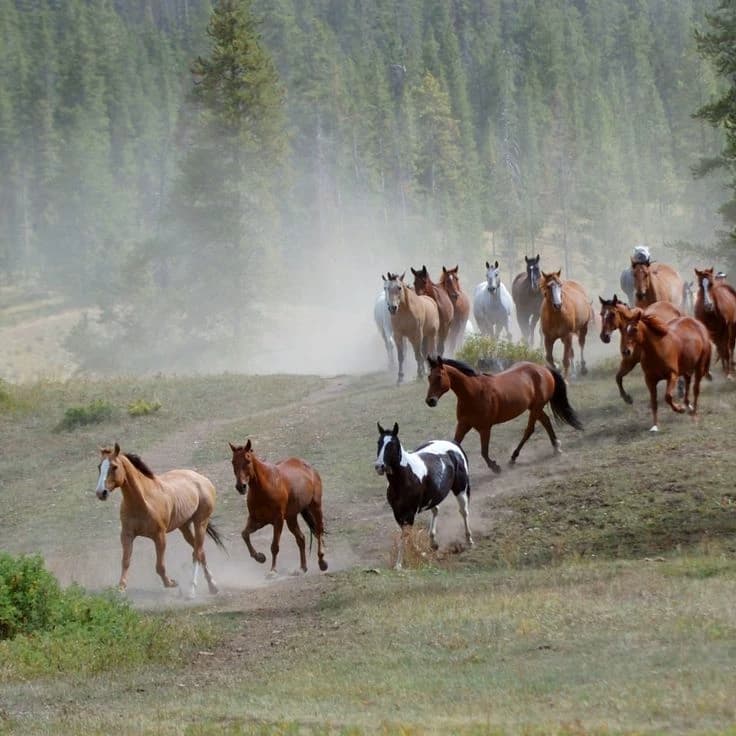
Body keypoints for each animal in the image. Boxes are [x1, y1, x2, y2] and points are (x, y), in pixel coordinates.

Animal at [95, 443, 225, 597]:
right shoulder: (127, 535)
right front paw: (120, 588)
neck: (144, 501)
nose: (101, 492)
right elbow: (125, 561)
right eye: (99, 466)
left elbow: (160, 566)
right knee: (201, 553)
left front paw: (171, 583)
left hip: (200, 523)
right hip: (184, 527)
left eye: (114, 467)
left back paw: (191, 590)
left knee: (197, 553)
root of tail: (203, 479)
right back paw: (213, 586)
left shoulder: (159, 536)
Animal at [229, 440, 327, 576]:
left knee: (319, 530)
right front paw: (260, 557)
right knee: (301, 539)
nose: (241, 487)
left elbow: (274, 546)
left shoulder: (278, 520)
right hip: (291, 518)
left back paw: (322, 562)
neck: (264, 488)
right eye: (233, 462)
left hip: (315, 506)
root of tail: (309, 468)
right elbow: (244, 534)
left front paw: (273, 571)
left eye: (247, 460)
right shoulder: (257, 520)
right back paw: (302, 568)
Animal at [374, 421, 473, 569]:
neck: (406, 476)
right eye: (379, 442)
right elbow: (407, 535)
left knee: (463, 512)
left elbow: (405, 535)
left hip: (460, 489)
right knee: (436, 510)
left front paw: (399, 565)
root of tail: (453, 444)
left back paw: (469, 540)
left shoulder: (410, 513)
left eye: (392, 444)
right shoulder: (397, 512)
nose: (379, 466)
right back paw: (433, 543)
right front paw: (419, 552)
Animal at [425, 355, 583, 472]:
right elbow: (455, 444)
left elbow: (484, 452)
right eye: (429, 377)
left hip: (536, 408)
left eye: (439, 376)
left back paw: (513, 458)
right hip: (534, 408)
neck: (473, 393)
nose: (430, 401)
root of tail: (543, 369)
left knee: (529, 430)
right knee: (546, 421)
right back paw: (556, 448)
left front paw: (495, 467)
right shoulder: (463, 425)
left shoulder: (485, 428)